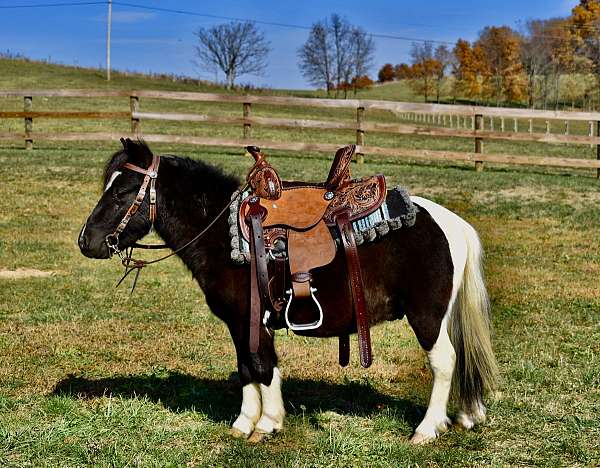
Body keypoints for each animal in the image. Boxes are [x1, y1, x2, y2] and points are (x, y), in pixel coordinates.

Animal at [78, 141, 496, 444]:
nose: (87, 241)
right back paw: (466, 415)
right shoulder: (240, 323)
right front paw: (245, 422)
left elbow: (262, 366)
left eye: (124, 191)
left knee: (444, 362)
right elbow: (247, 366)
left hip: (426, 316)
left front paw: (266, 424)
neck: (224, 235)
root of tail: (452, 223)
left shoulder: (251, 317)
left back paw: (427, 428)